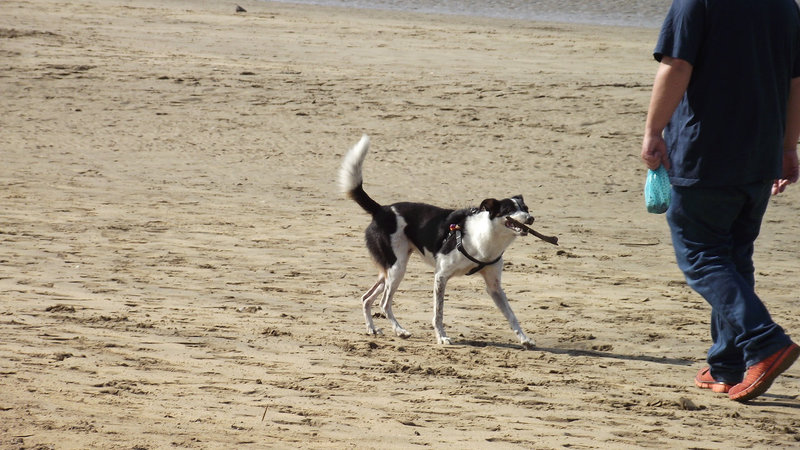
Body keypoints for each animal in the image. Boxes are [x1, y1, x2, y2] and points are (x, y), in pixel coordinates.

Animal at [340, 134, 536, 348]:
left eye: (525, 208)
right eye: (509, 210)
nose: (531, 218)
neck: (485, 237)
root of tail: (381, 210)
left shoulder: (494, 287)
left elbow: (511, 315)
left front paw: (524, 338)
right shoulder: (441, 276)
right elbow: (438, 313)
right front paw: (441, 337)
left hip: (390, 270)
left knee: (366, 298)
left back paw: (372, 328)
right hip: (397, 268)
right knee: (384, 303)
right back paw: (400, 331)